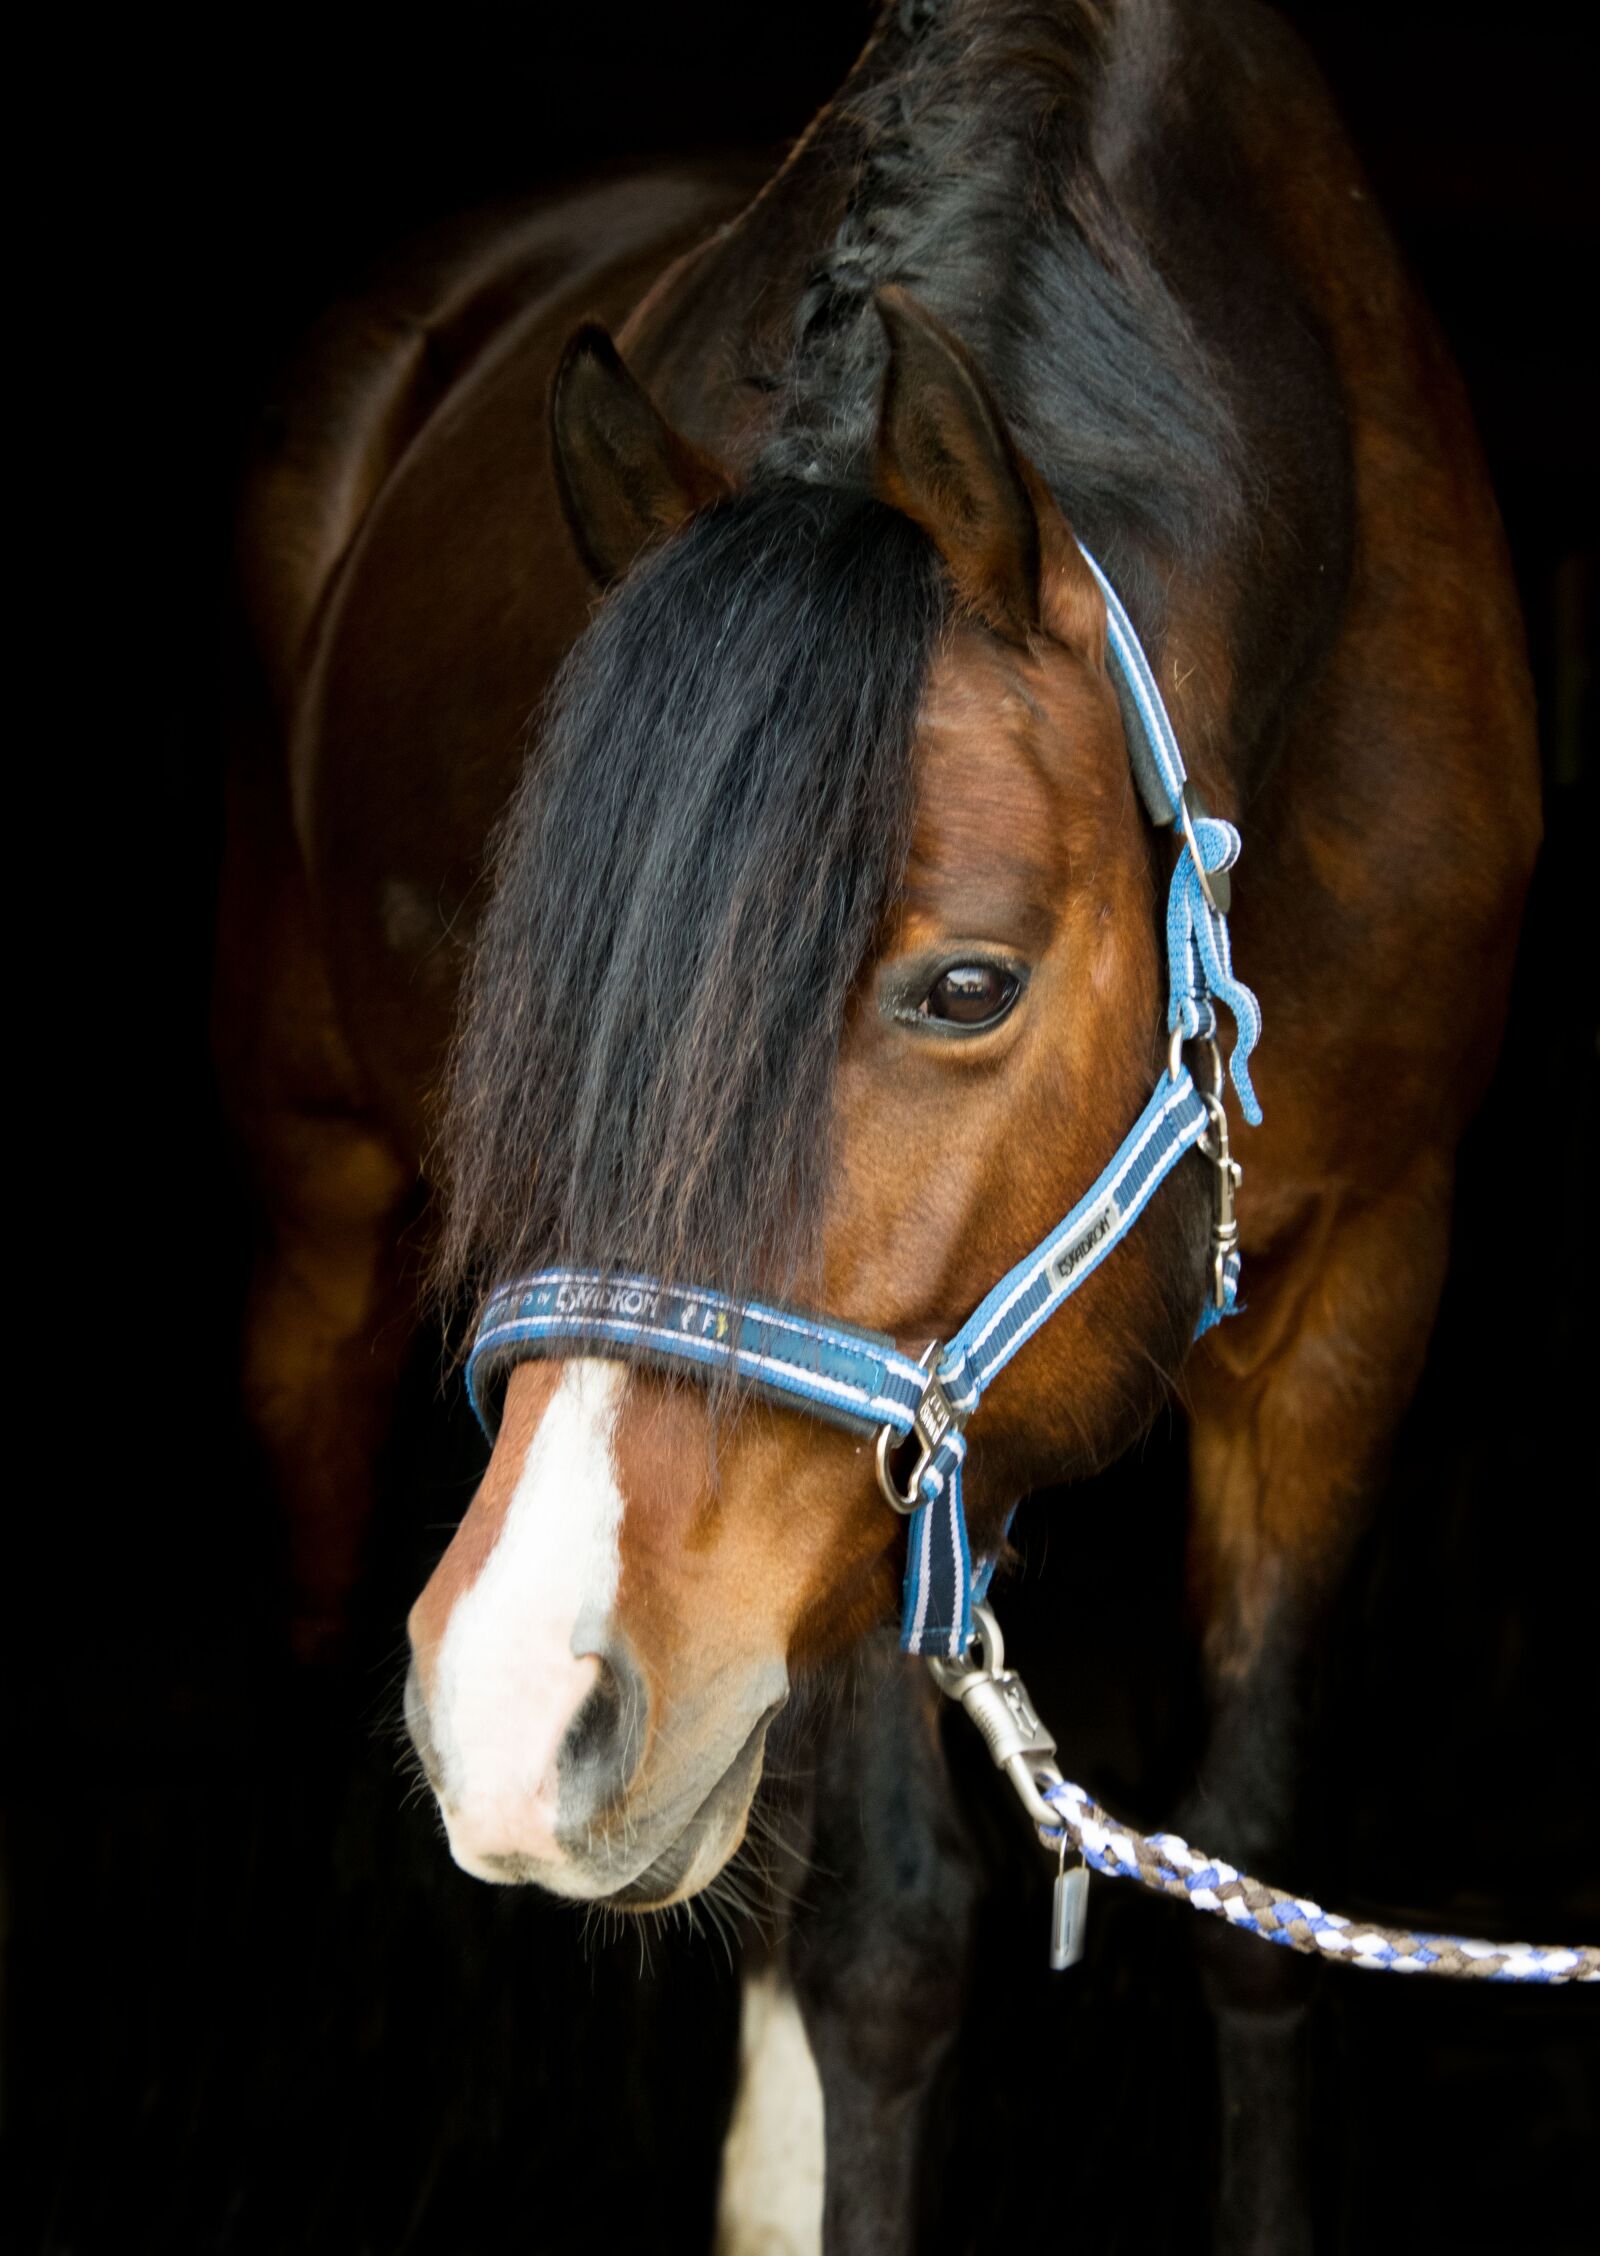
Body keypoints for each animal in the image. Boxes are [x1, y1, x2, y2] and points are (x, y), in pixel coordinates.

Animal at [219, 1, 1539, 2245]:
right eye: (545, 979)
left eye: (965, 987)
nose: (508, 1702)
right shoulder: (845, 1486)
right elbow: (886, 1956)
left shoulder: (1358, 1288)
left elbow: (1247, 1905)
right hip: (318, 1211)